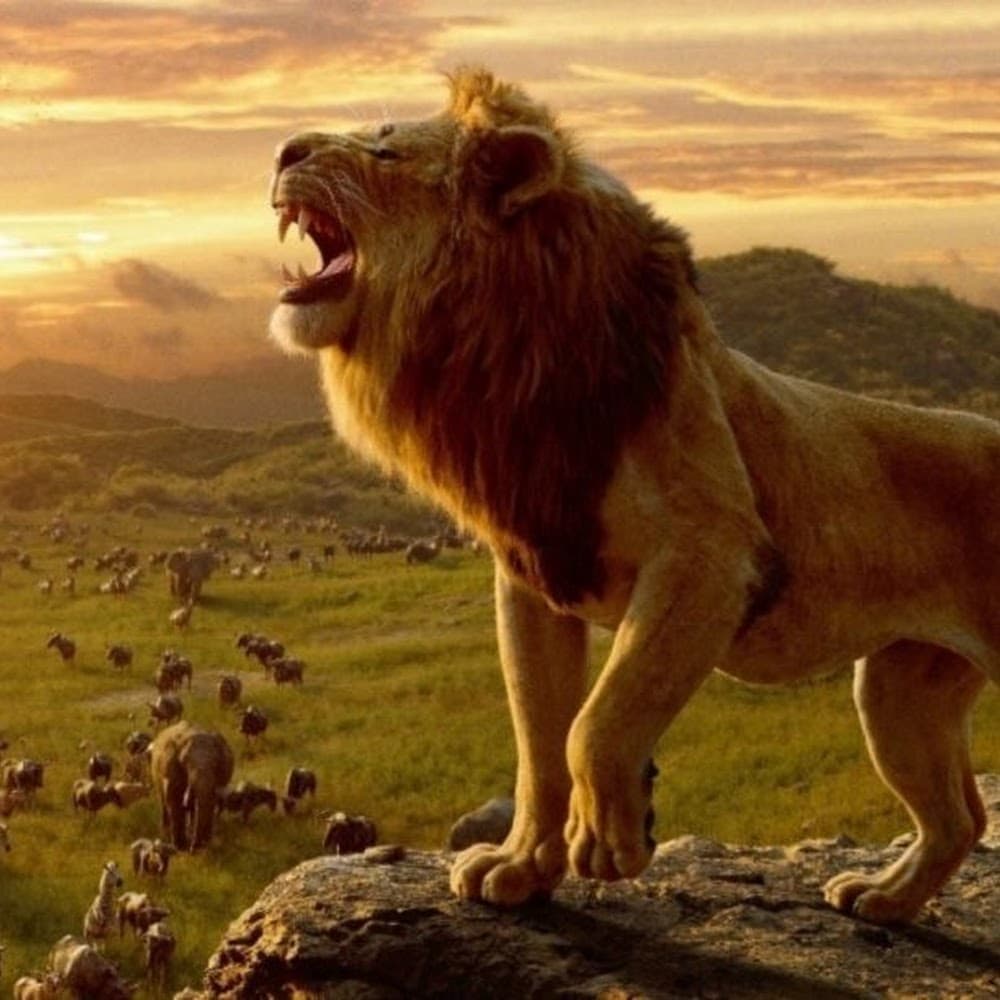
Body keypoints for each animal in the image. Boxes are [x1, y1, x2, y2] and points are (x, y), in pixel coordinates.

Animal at [268, 67, 999, 923]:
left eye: (384, 148)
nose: (283, 150)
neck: (504, 360)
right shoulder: (532, 572)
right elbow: (539, 739)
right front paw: (521, 868)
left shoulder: (710, 554)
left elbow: (597, 721)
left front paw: (612, 840)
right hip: (897, 691)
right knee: (958, 816)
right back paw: (882, 897)